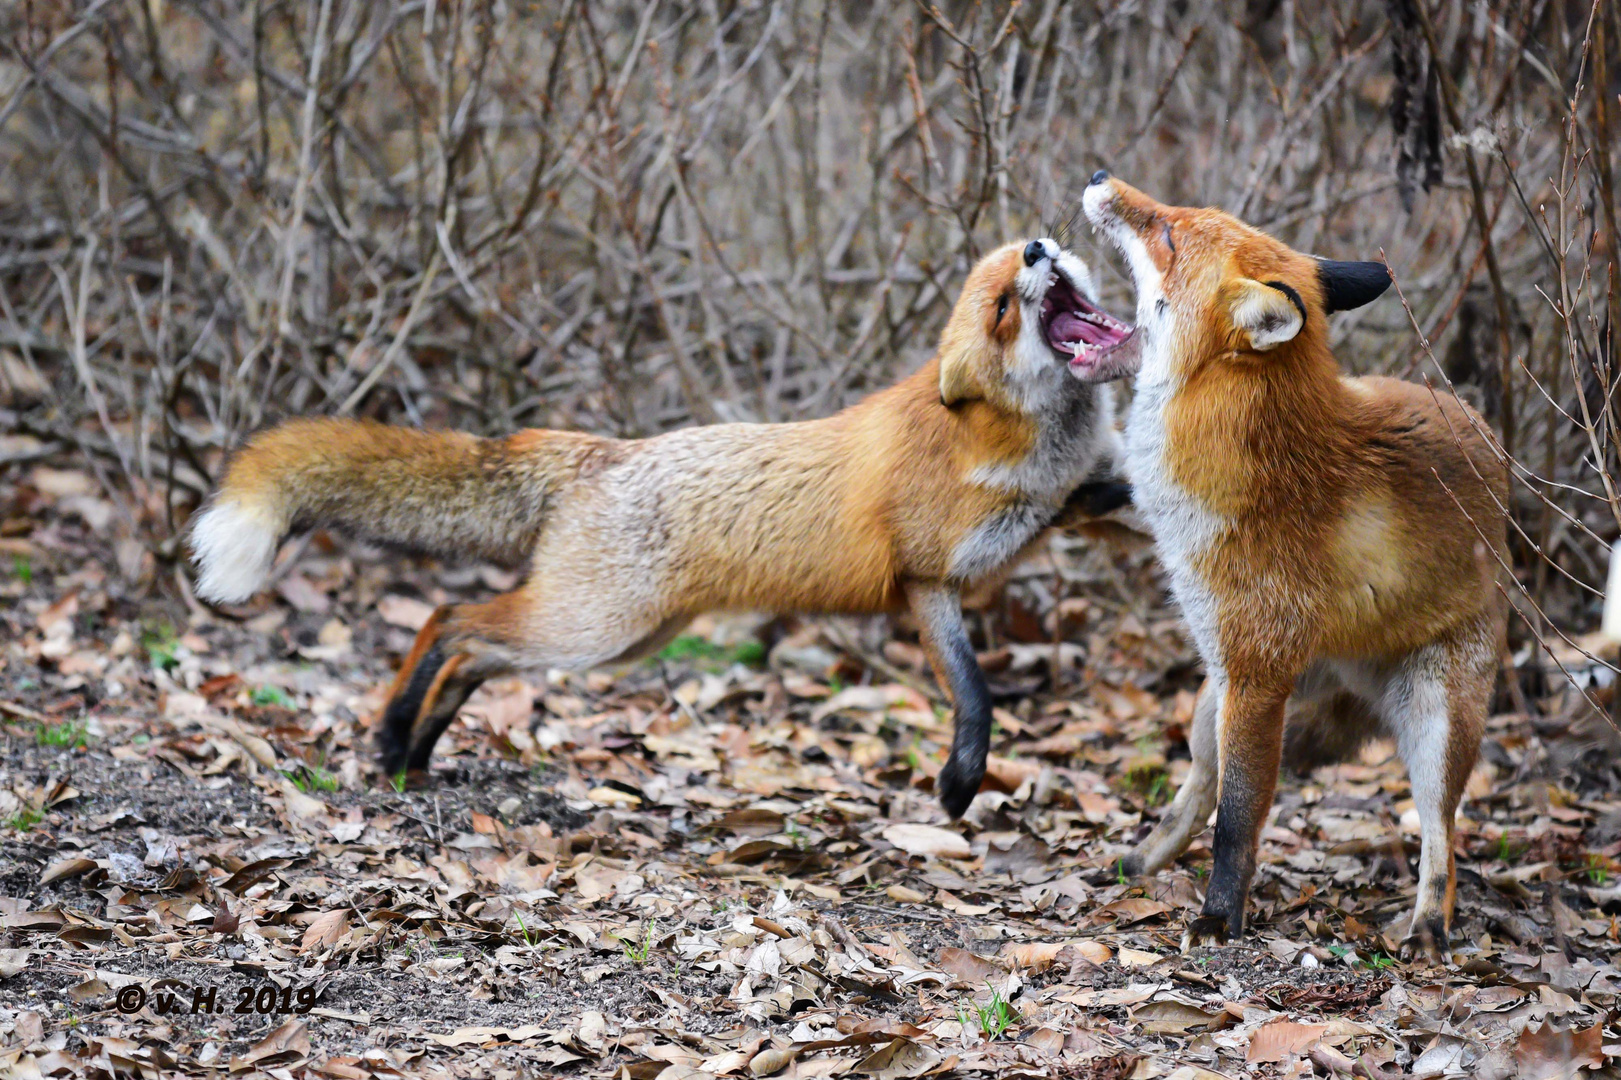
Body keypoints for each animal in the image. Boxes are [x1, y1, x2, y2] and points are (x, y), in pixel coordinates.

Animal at [189, 233, 1141, 807]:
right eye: (1002, 307)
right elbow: (974, 693)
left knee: (472, 651)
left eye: (1026, 262)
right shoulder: (925, 579)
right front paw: (959, 780)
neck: (1015, 444)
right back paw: (393, 735)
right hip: (591, 630)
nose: (1038, 245)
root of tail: (597, 452)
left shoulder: (1072, 503)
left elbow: (1122, 498)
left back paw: (414, 748)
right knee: (450, 621)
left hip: (615, 640)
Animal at [1082, 168, 1510, 953]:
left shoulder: (1257, 677)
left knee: (1441, 835)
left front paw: (1218, 918)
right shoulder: (1236, 664)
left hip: (1434, 721)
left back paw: (1428, 926)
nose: (1099, 177)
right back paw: (1141, 860)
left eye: (1168, 234)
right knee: (1195, 787)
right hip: (1210, 700)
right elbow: (1225, 807)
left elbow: (1238, 823)